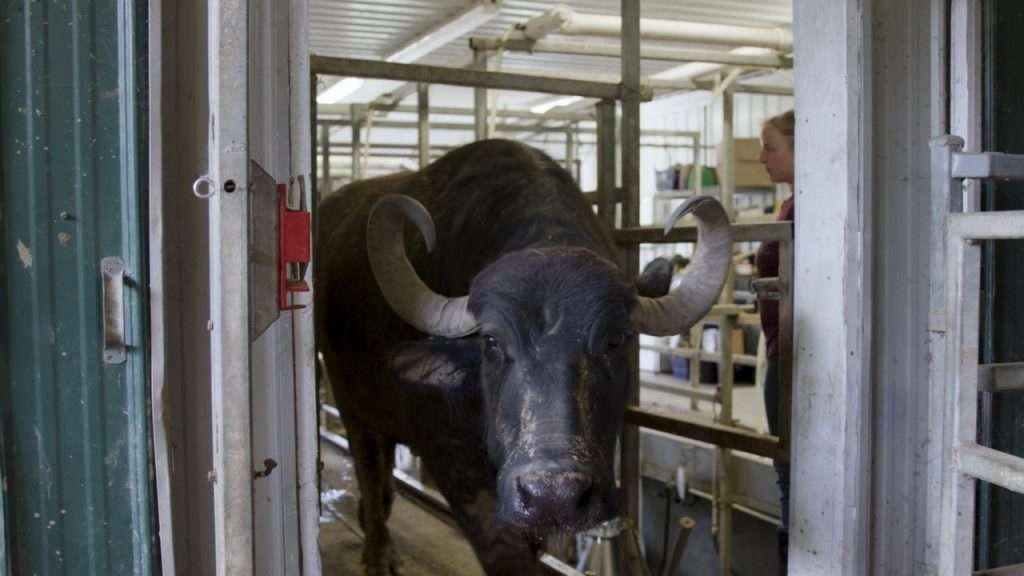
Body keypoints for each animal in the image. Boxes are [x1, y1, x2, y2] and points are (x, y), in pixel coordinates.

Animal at [311, 136, 729, 569]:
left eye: (615, 340)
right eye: (492, 343)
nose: (554, 495)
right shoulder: (455, 461)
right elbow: (503, 544)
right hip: (352, 405)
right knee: (370, 469)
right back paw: (378, 551)